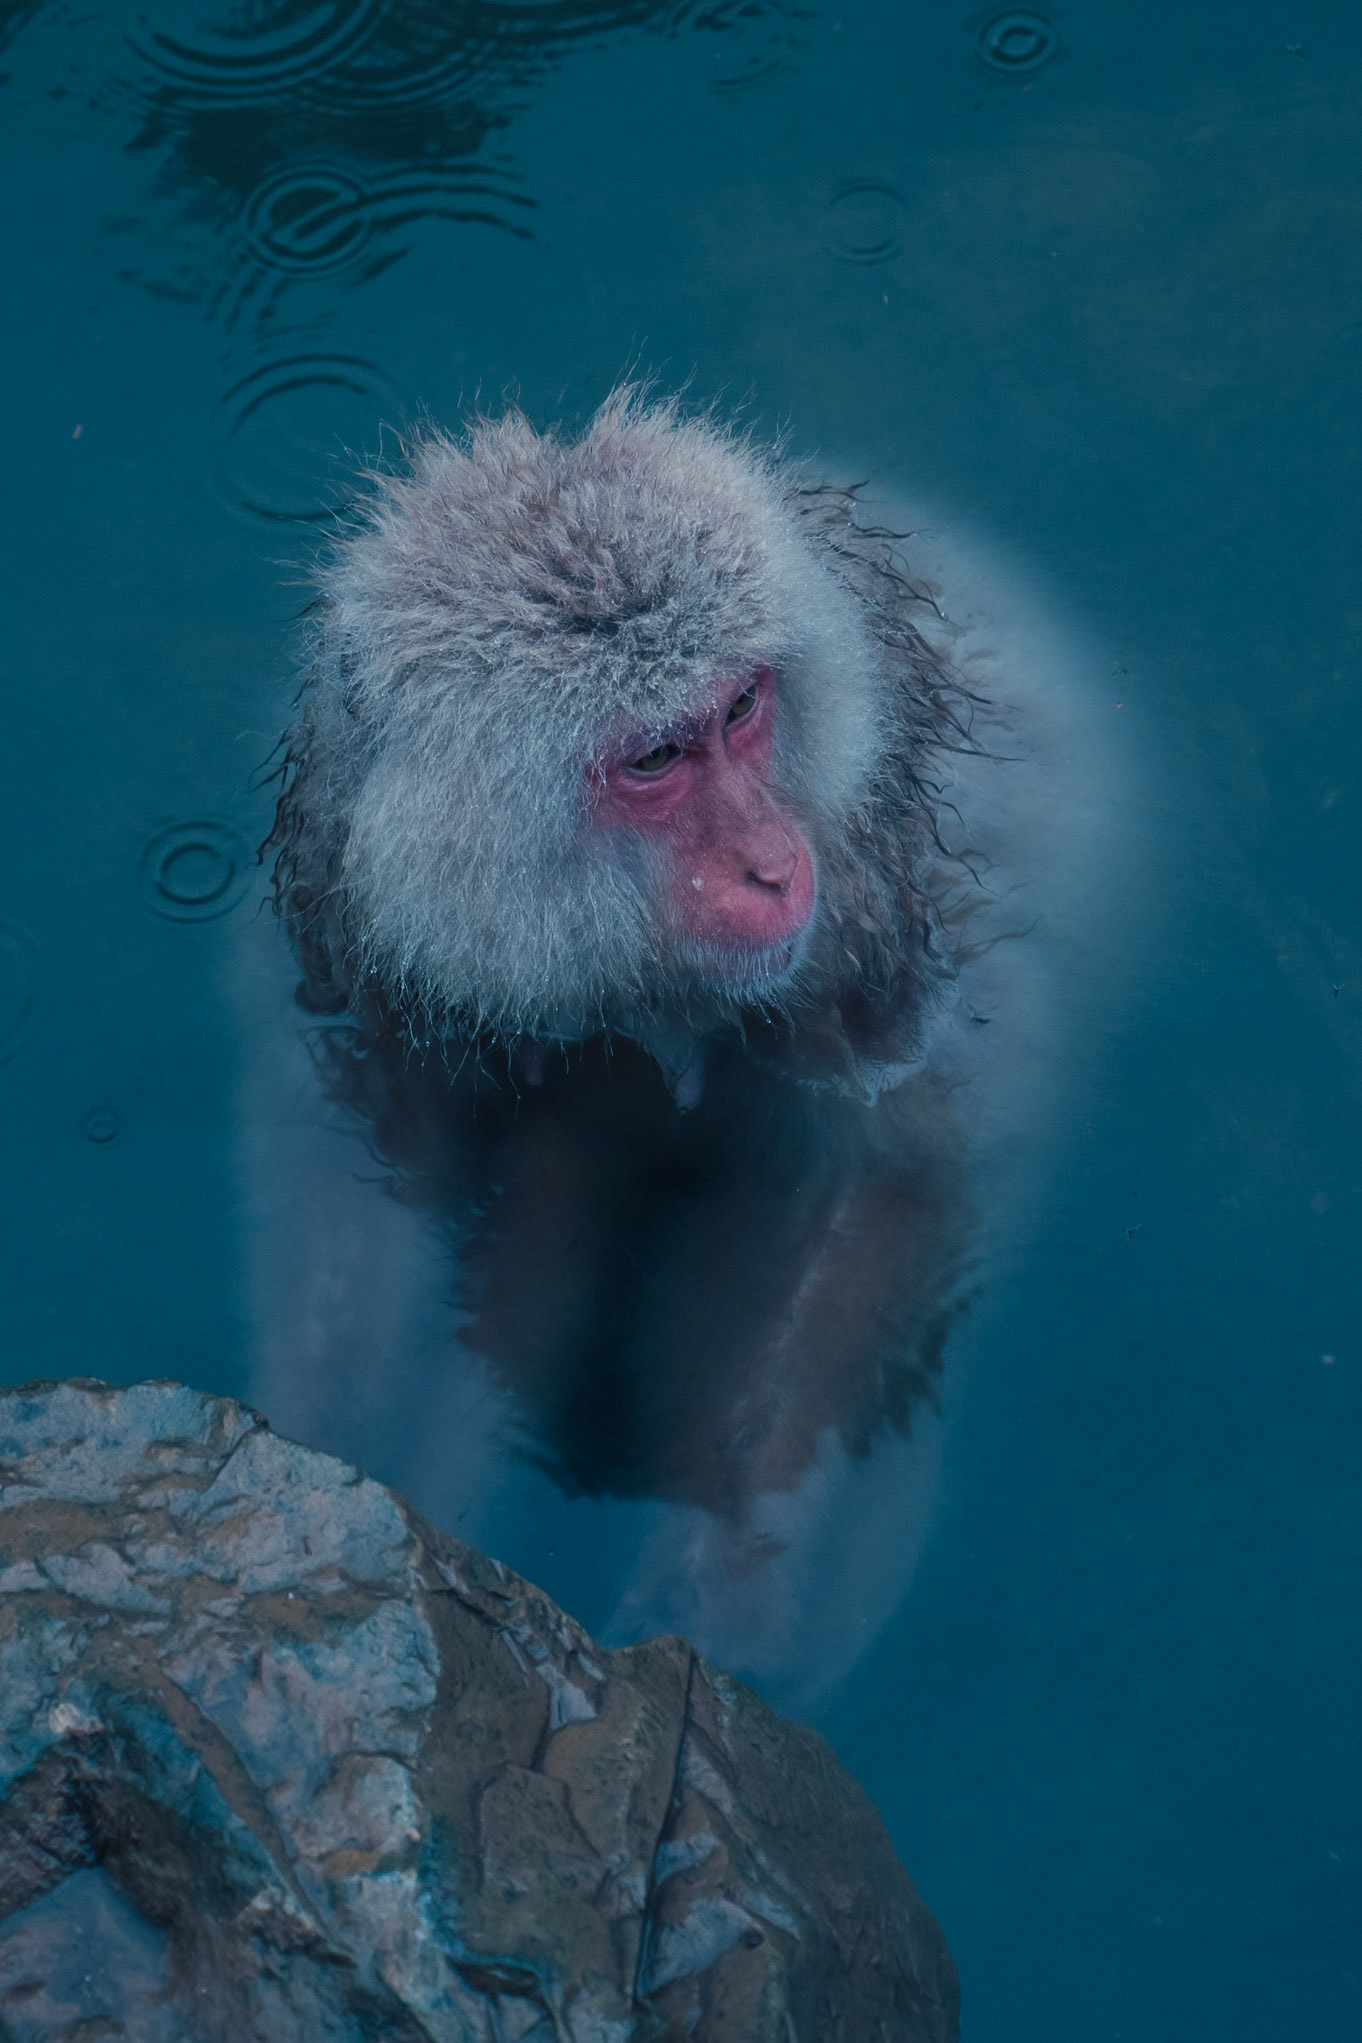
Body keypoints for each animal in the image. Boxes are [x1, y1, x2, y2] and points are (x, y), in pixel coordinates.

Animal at [247, 386, 1105, 1701]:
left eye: (742, 709)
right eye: (657, 756)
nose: (772, 864)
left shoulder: (878, 941)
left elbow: (893, 1187)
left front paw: (734, 1577)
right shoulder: (368, 955)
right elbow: (364, 1181)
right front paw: (324, 1467)